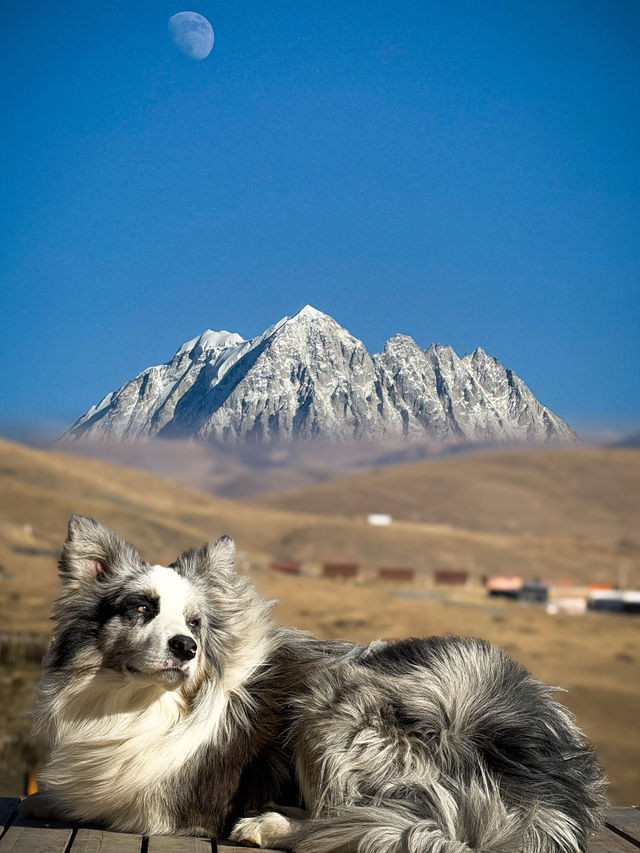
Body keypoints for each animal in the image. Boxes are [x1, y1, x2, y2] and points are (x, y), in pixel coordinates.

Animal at [25, 516, 604, 848]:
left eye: (195, 624)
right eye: (142, 608)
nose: (186, 647)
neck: (140, 701)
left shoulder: (167, 805)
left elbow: (97, 804)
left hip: (336, 707)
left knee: (347, 818)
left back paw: (268, 825)